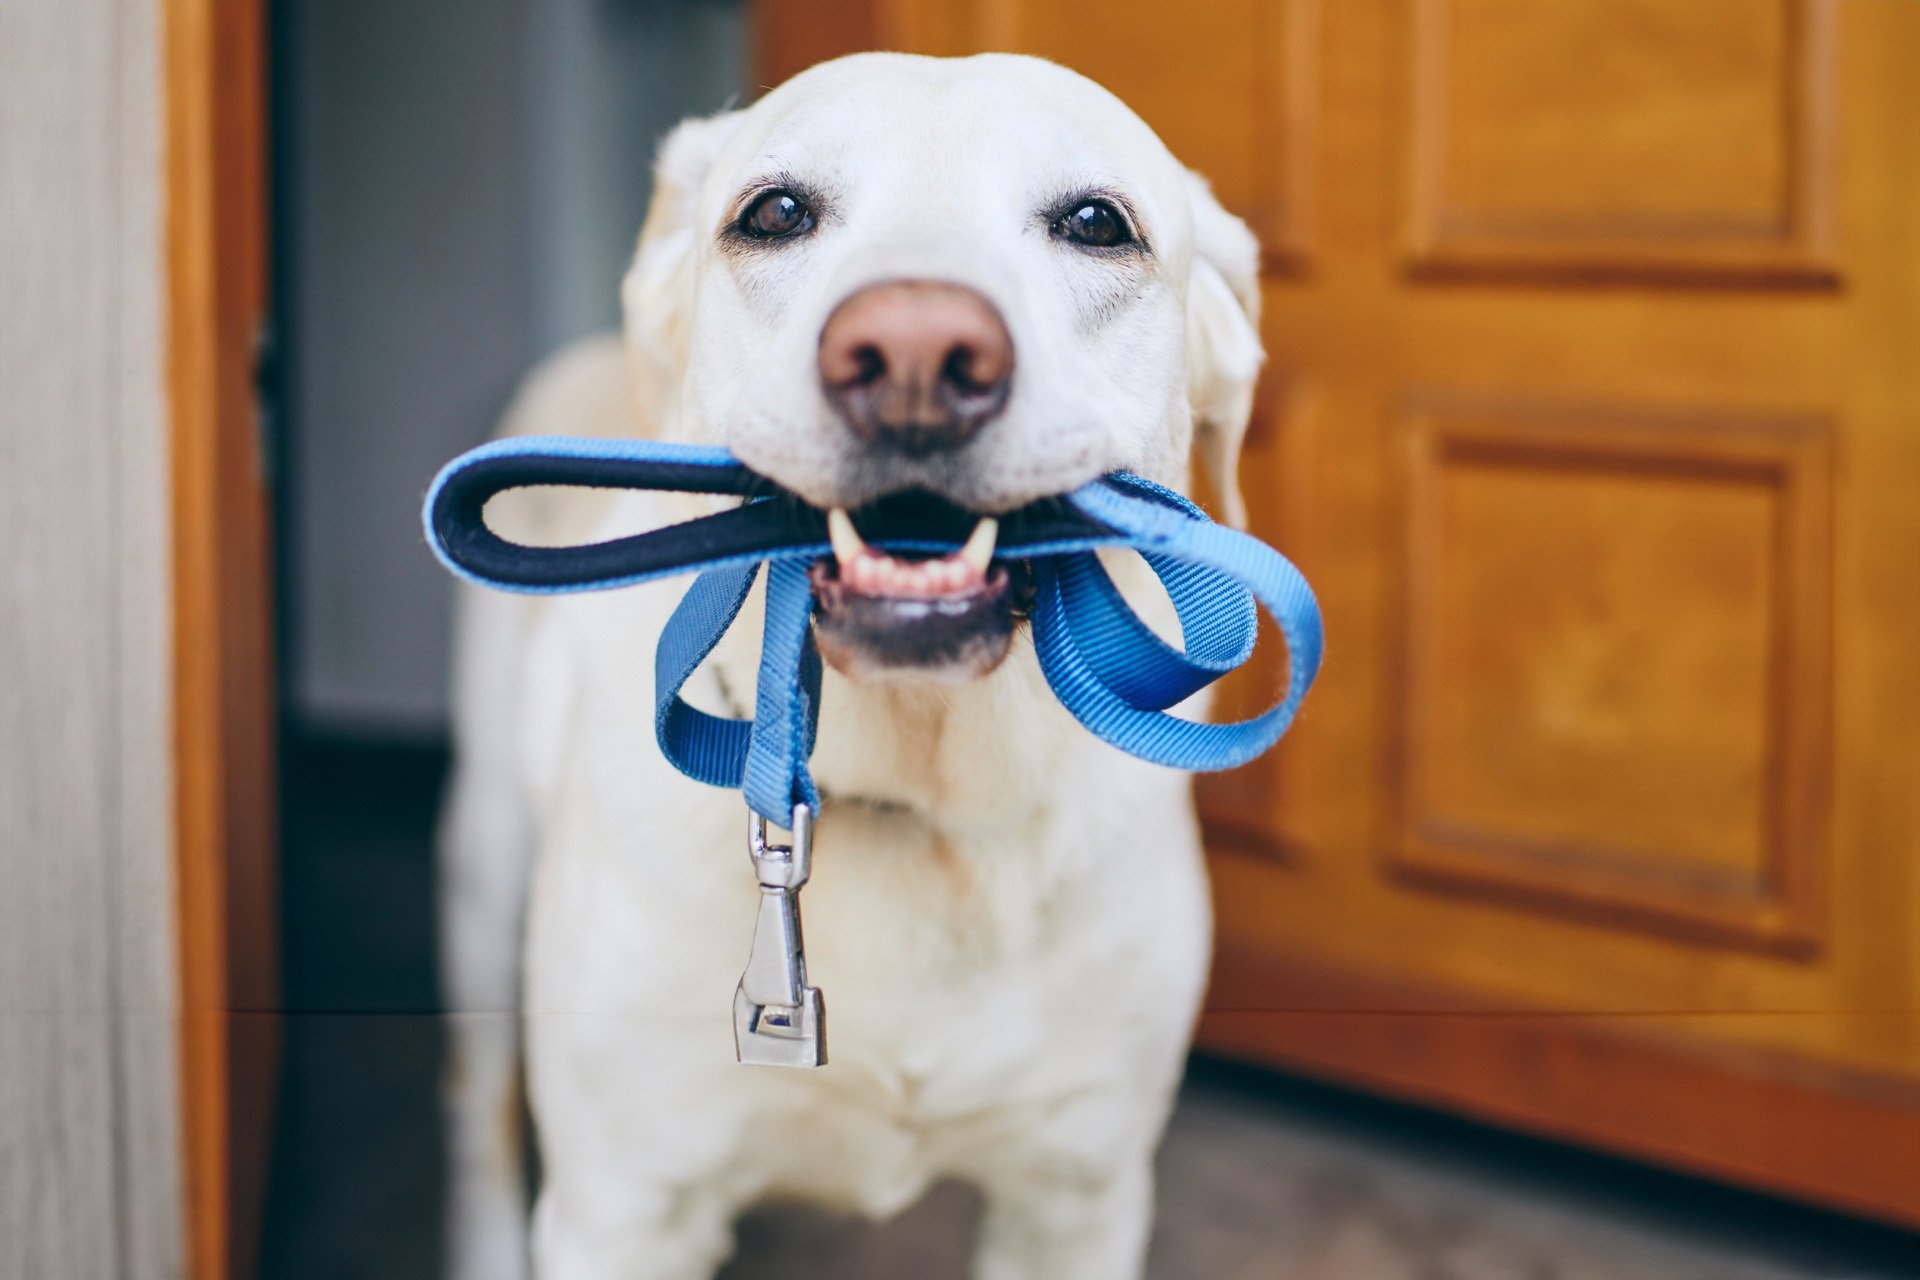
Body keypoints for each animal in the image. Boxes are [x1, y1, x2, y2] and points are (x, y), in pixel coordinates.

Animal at [441, 52, 1267, 1280]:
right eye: (776, 213)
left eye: (1095, 223)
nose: (917, 352)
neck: (919, 801)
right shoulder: (621, 1206)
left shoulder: (1076, 1195)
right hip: (485, 885)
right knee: (480, 1115)